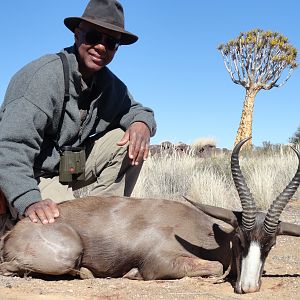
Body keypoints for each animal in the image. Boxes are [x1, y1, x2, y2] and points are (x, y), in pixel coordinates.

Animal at [0, 138, 298, 292]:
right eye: (240, 239)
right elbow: (214, 268)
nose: (248, 287)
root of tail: (14, 231)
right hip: (68, 252)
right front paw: (132, 274)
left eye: (271, 244)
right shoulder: (158, 263)